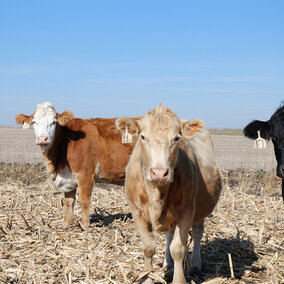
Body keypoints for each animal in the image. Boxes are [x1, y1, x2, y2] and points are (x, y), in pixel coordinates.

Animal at [15, 101, 138, 229]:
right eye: (34, 122)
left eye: (54, 122)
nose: (42, 138)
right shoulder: (67, 177)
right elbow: (69, 202)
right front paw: (66, 223)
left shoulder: (85, 175)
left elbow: (84, 201)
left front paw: (85, 225)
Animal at [115, 105, 222, 284]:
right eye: (143, 136)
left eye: (176, 138)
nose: (159, 172)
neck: (157, 195)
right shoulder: (137, 211)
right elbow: (149, 247)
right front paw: (146, 276)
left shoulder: (187, 210)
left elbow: (178, 248)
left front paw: (179, 279)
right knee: (169, 235)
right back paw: (167, 264)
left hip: (200, 208)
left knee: (197, 232)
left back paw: (195, 265)